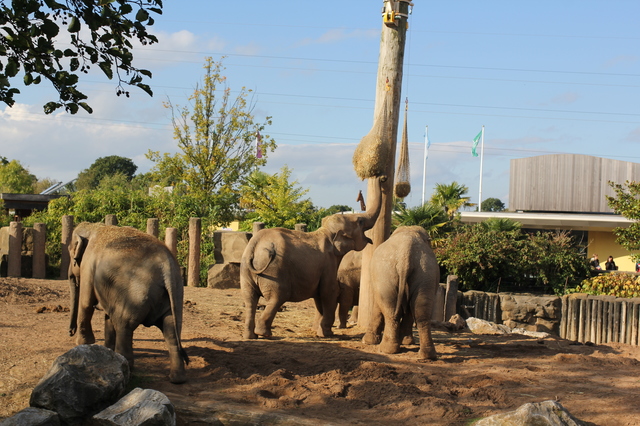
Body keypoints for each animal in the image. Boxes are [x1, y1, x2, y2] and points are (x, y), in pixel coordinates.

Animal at [68, 223, 189, 382]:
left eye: (70, 254)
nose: (70, 332)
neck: (92, 226)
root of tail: (166, 265)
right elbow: (108, 315)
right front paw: (106, 351)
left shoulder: (88, 265)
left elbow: (86, 303)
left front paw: (83, 344)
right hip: (174, 293)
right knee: (171, 330)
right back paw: (177, 379)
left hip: (135, 294)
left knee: (124, 326)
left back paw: (126, 366)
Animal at [241, 174, 384, 340]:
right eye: (360, 222)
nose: (383, 178)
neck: (325, 231)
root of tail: (255, 243)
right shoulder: (328, 263)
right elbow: (329, 291)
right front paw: (328, 334)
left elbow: (319, 296)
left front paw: (321, 332)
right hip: (274, 271)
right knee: (277, 298)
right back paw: (265, 334)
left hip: (246, 272)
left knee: (250, 300)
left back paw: (250, 336)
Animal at [362, 226, 442, 360]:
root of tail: (406, 251)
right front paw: (406, 342)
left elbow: (378, 305)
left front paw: (367, 341)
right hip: (425, 272)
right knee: (421, 311)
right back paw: (426, 355)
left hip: (385, 273)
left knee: (391, 309)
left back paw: (387, 349)